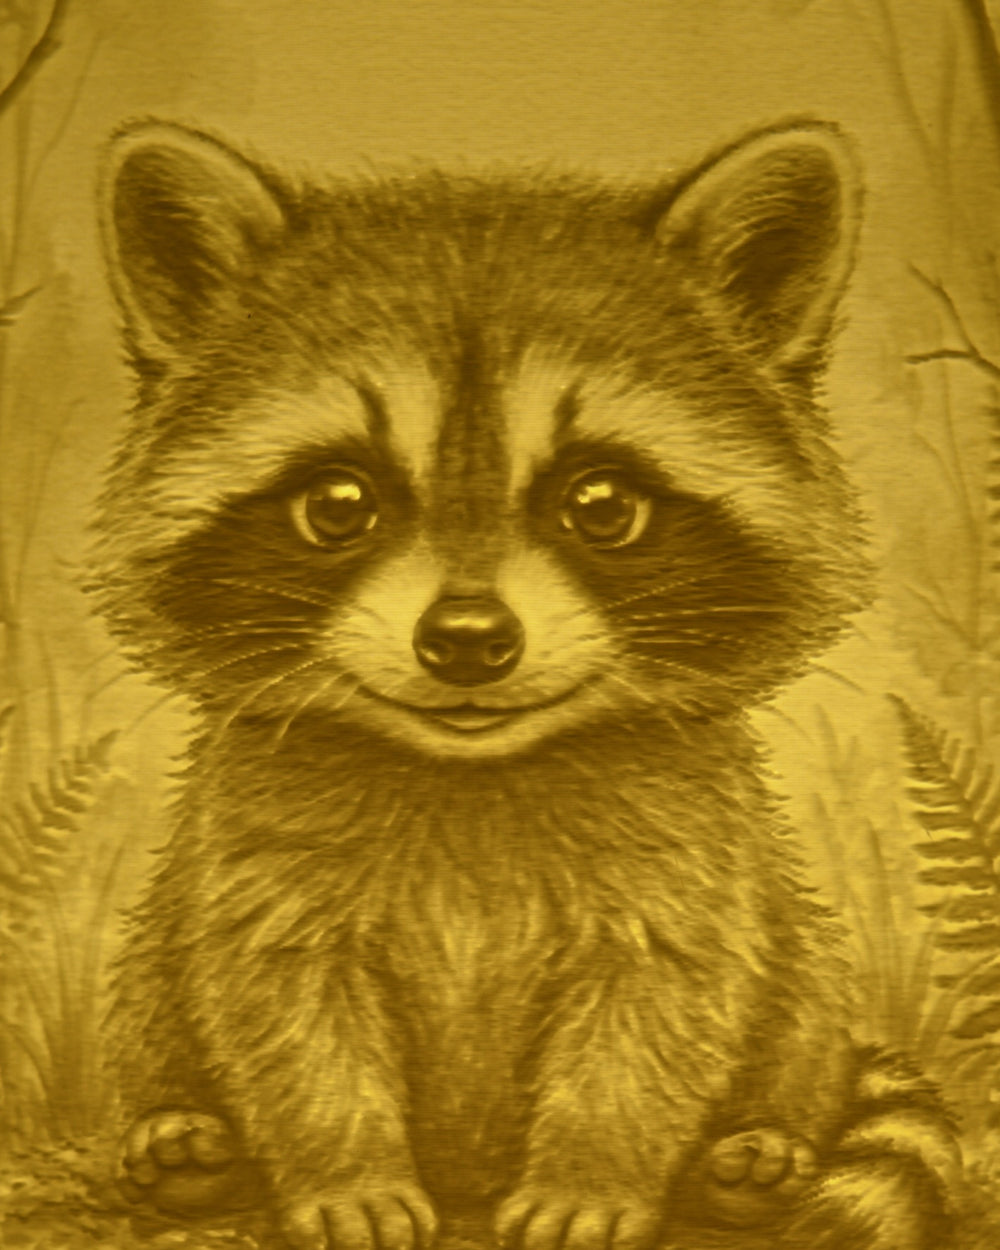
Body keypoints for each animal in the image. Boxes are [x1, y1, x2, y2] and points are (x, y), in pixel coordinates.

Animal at [91, 120, 960, 1250]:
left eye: (601, 504)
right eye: (339, 503)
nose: (467, 641)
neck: (473, 769)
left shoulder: (687, 853)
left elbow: (660, 1008)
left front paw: (593, 1167)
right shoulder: (256, 852)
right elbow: (287, 1010)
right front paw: (348, 1166)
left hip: (805, 982)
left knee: (794, 1001)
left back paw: (760, 1143)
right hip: (153, 968)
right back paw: (183, 1136)